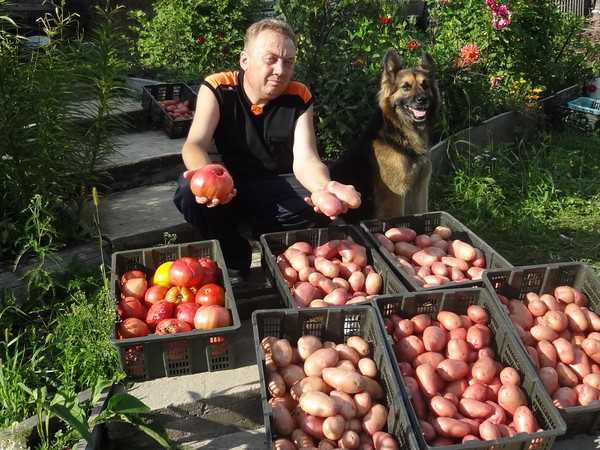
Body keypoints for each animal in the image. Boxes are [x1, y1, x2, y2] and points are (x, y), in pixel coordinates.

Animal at [331, 48, 440, 221]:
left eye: (425, 86)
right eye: (405, 87)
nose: (422, 100)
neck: (402, 134)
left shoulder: (419, 190)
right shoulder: (395, 197)